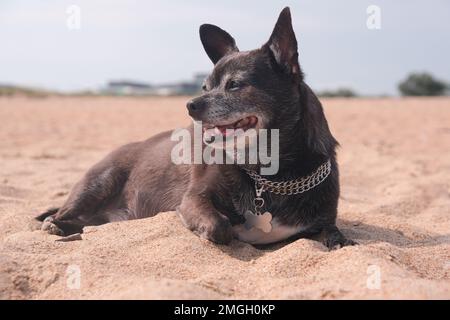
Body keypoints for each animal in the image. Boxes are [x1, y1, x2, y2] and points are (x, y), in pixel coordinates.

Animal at [36, 6, 356, 249]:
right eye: (205, 87)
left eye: (234, 85)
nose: (190, 105)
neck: (268, 174)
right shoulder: (193, 199)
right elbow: (219, 226)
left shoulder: (325, 220)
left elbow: (336, 235)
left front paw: (340, 241)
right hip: (99, 181)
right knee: (62, 214)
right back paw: (57, 226)